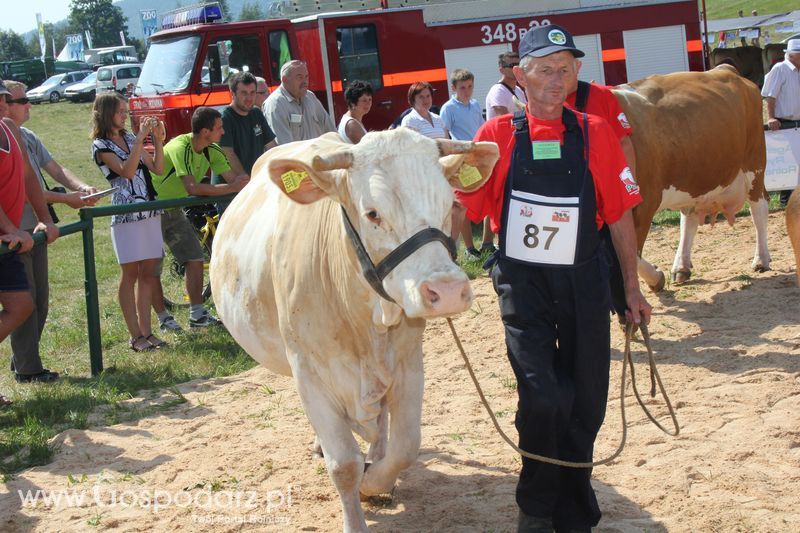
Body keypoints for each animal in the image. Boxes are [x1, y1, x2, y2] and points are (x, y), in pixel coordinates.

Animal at [209, 130, 496, 532]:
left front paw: (375, 482)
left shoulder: (408, 362)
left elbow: (405, 446)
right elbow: (344, 464)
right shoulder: (309, 372)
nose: (449, 290)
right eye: (372, 213)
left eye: (449, 203)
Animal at [612, 67, 768, 290]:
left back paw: (761, 259)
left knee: (759, 209)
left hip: (754, 164)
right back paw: (681, 266)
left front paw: (655, 279)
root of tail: (725, 69)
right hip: (695, 180)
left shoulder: (643, 203)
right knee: (689, 219)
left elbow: (630, 256)